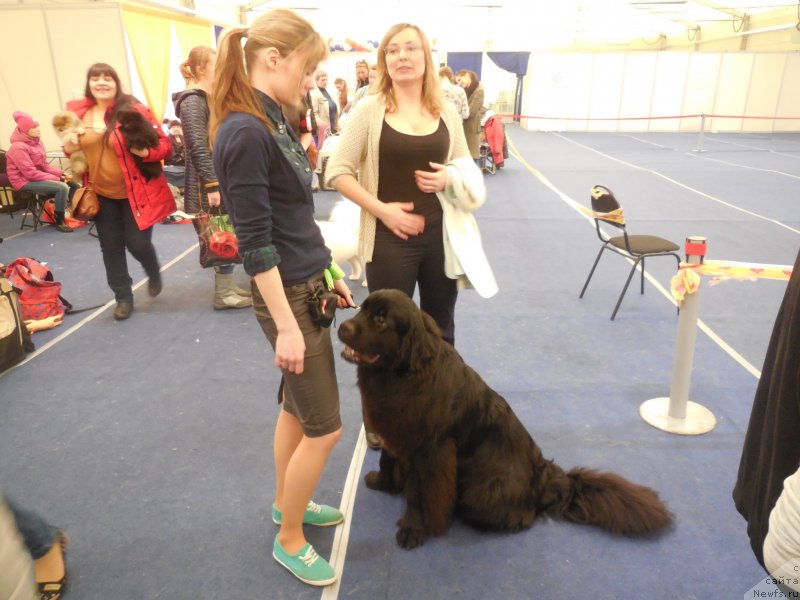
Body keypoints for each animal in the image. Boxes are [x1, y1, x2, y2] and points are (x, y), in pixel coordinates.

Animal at [334, 290, 672, 548]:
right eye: (361, 308)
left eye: (381, 320)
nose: (343, 328)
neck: (404, 375)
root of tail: (544, 477)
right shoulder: (395, 432)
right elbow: (386, 460)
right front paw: (383, 483)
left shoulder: (429, 451)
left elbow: (419, 494)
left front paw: (413, 529)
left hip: (483, 491)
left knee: (520, 515)